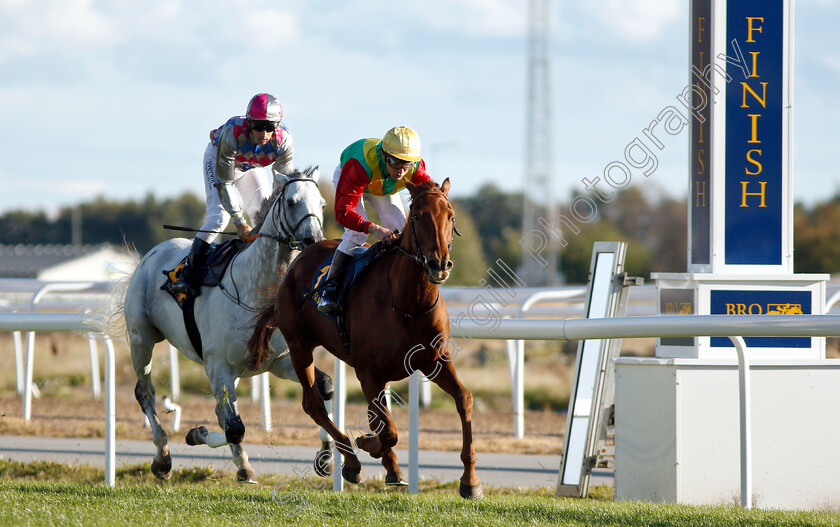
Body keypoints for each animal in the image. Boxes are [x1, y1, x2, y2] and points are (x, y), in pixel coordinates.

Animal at [246, 177, 480, 500]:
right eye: (418, 216)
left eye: (451, 217)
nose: (439, 264)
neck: (407, 301)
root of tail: (297, 262)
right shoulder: (368, 371)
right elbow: (387, 430)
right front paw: (369, 445)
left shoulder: (434, 361)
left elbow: (463, 399)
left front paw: (470, 480)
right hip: (299, 346)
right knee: (313, 404)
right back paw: (353, 462)